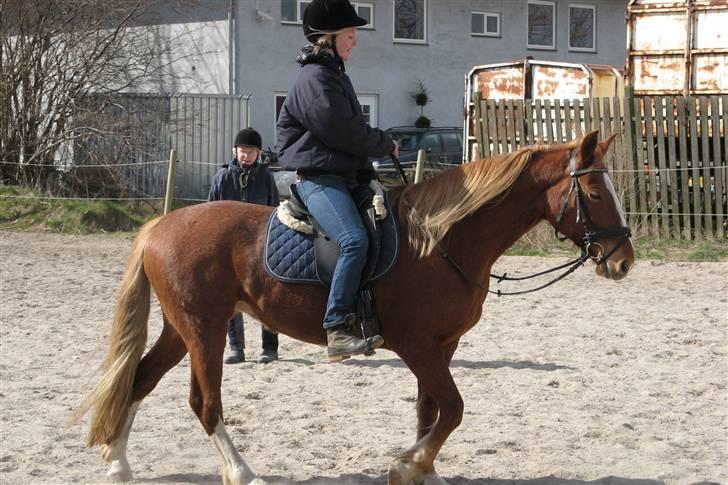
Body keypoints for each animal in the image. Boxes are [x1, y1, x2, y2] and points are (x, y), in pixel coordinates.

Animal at [74, 130, 632, 482]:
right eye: (595, 191)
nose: (623, 259)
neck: (440, 241)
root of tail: (159, 226)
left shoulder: (442, 346)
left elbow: (431, 411)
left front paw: (422, 471)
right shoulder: (416, 346)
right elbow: (452, 409)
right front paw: (407, 466)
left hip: (182, 329)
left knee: (139, 381)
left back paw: (118, 465)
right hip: (204, 331)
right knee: (205, 405)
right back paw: (242, 473)